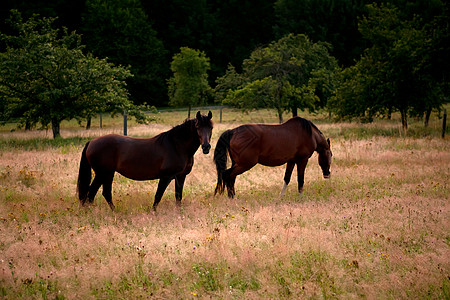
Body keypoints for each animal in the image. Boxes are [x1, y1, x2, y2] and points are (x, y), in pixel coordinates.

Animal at [76, 110, 214, 211]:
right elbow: (158, 195)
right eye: (197, 127)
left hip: (104, 174)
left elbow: (178, 196)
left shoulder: (181, 176)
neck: (176, 146)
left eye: (211, 127)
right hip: (104, 173)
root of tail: (91, 142)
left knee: (95, 193)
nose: (206, 147)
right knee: (99, 192)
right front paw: (153, 212)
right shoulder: (166, 176)